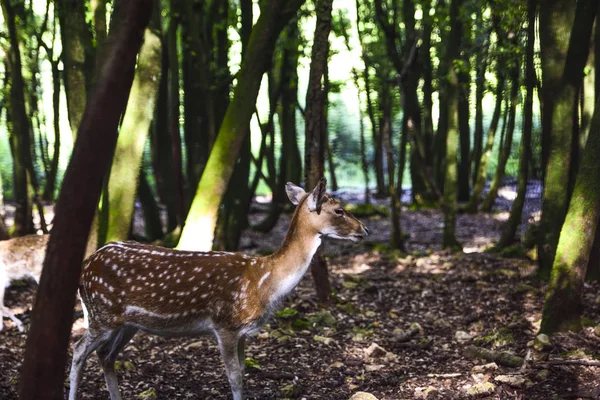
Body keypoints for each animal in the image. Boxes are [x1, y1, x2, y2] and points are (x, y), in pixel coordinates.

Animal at [65, 180, 366, 400]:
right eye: (339, 210)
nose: (364, 229)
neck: (264, 280)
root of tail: (85, 267)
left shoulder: (242, 331)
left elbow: (243, 371)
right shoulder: (225, 324)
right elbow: (234, 377)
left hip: (127, 323)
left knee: (106, 356)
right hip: (101, 313)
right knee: (79, 350)